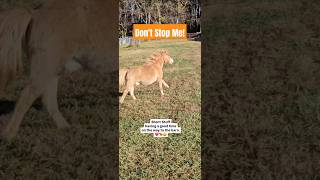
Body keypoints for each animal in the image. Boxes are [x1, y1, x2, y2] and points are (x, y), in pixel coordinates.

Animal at [0, 0, 117, 140]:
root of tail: (36, 13)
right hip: (46, 68)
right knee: (26, 98)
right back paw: (9, 134)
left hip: (52, 70)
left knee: (48, 101)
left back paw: (65, 127)